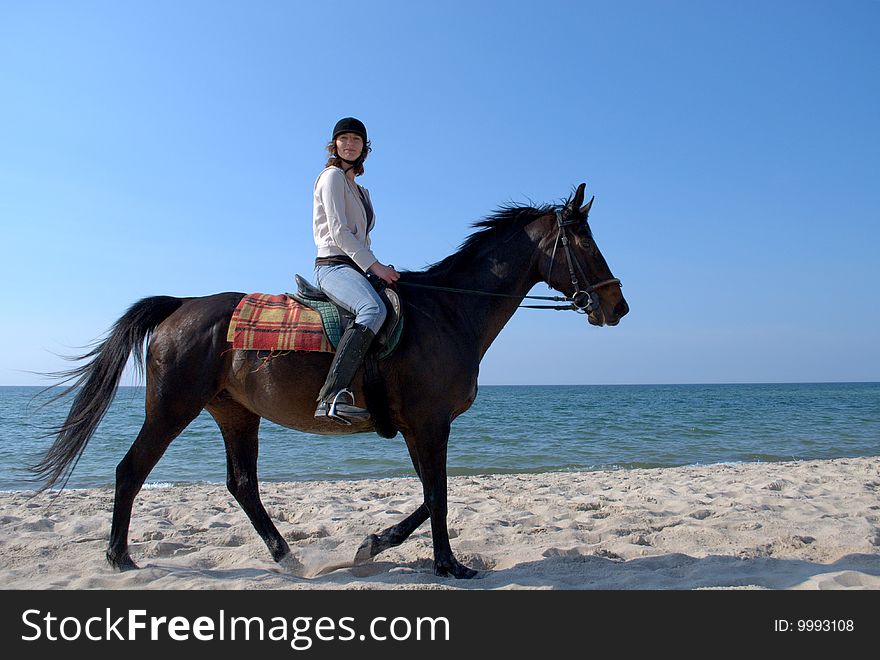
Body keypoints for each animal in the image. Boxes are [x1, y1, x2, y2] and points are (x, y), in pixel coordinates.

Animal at [34, 182, 624, 576]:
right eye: (585, 244)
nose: (617, 306)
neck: (449, 311)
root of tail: (182, 305)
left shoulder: (417, 428)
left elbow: (429, 494)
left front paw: (375, 544)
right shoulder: (431, 424)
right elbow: (438, 495)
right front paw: (447, 565)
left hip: (235, 413)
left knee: (242, 484)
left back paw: (286, 556)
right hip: (171, 408)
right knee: (130, 470)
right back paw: (119, 557)